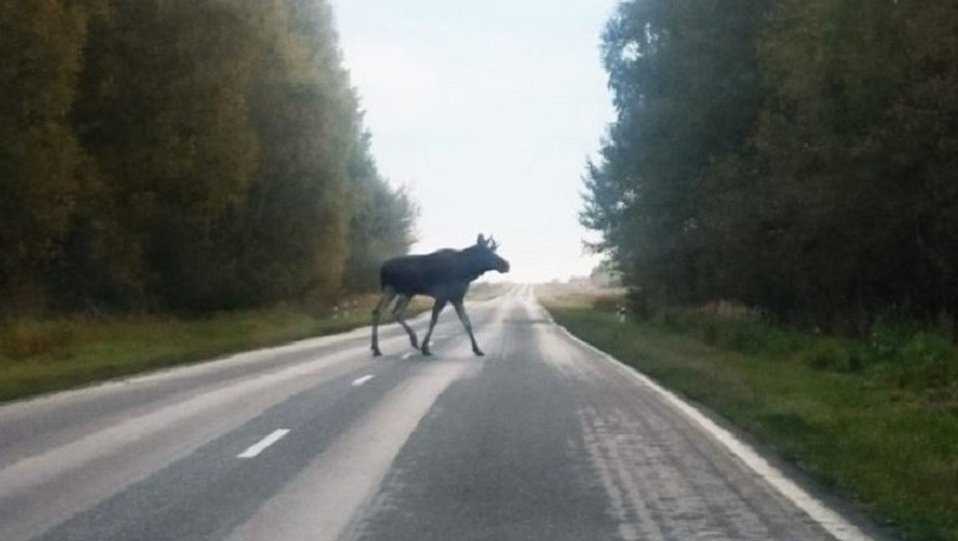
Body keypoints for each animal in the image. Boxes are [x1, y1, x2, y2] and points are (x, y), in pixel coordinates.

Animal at [374, 234, 512, 356]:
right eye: (487, 252)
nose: (506, 264)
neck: (466, 270)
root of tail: (382, 268)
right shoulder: (443, 296)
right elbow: (434, 320)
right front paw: (425, 347)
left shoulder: (457, 297)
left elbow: (466, 322)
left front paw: (477, 349)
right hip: (391, 289)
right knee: (381, 311)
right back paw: (378, 348)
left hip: (406, 292)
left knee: (393, 312)